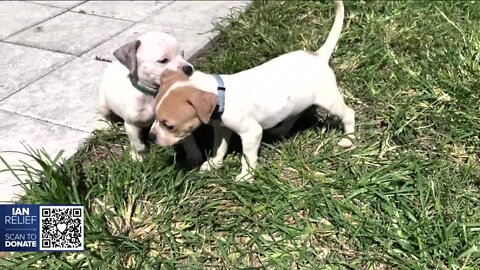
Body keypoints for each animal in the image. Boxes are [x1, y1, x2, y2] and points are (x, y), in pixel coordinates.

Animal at [97, 31, 202, 162]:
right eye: (163, 60)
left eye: (182, 54)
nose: (189, 69)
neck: (153, 95)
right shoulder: (131, 125)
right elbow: (138, 144)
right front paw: (138, 157)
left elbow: (188, 137)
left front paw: (194, 154)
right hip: (103, 105)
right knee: (108, 118)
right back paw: (112, 126)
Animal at [150, 1, 356, 181]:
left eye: (168, 125)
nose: (151, 137)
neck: (221, 94)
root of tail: (318, 56)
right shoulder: (221, 128)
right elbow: (219, 147)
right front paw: (214, 164)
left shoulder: (251, 133)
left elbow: (247, 157)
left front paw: (246, 176)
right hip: (296, 101)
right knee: (294, 114)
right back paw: (281, 130)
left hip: (329, 99)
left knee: (348, 113)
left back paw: (349, 139)